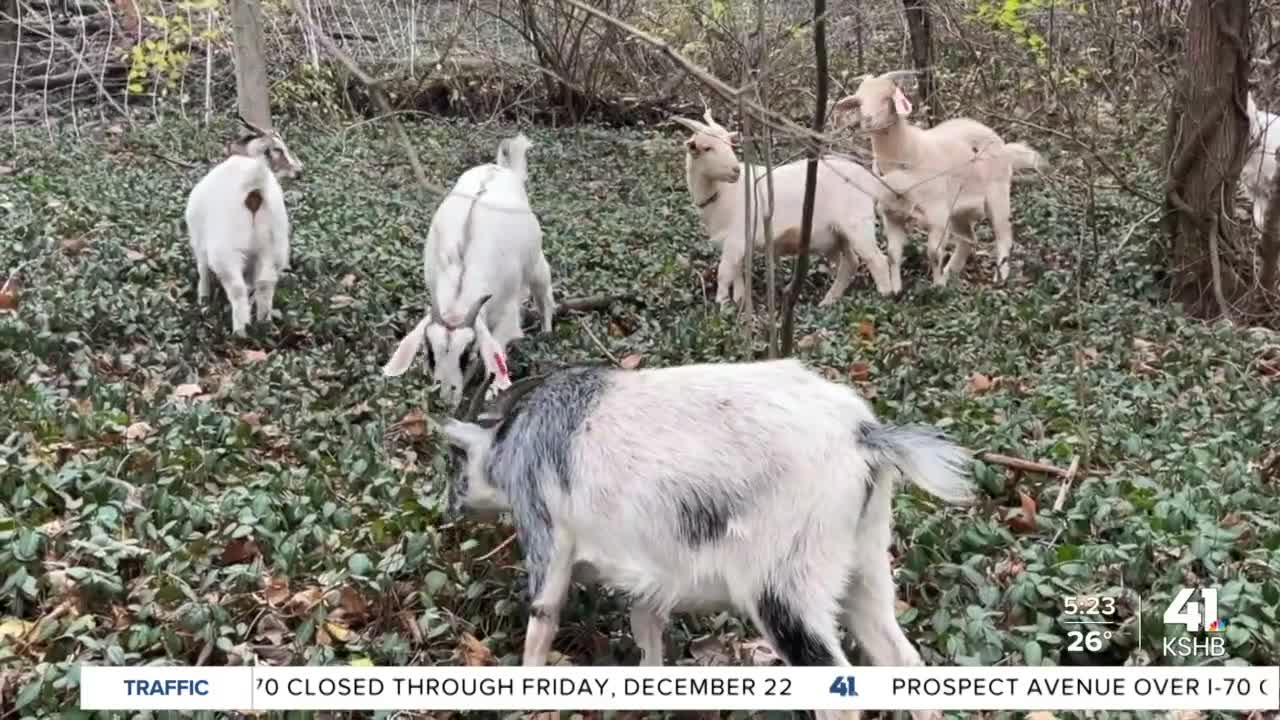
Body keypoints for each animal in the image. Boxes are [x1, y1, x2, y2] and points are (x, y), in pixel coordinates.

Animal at [185, 113, 302, 335]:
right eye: (279, 149)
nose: (298, 171)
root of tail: (254, 186)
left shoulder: (199, 241)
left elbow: (202, 269)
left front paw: (203, 300)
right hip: (273, 245)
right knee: (265, 283)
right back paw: (264, 324)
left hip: (227, 250)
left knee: (237, 288)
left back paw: (240, 331)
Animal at [384, 132, 555, 407]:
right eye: (430, 352)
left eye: (468, 354)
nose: (443, 399)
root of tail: (501, 169)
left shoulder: (507, 311)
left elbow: (499, 346)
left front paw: (493, 389)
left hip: (537, 261)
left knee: (544, 292)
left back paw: (547, 332)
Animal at [675, 108, 896, 302]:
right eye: (707, 147)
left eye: (729, 144)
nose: (735, 171)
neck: (724, 193)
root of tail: (869, 178)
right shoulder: (733, 243)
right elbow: (737, 274)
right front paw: (738, 301)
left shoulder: (736, 238)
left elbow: (723, 274)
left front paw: (721, 306)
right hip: (837, 234)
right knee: (850, 263)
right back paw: (828, 301)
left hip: (857, 222)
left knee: (876, 259)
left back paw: (884, 297)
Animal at [829, 70, 1049, 288]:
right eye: (859, 101)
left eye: (886, 98)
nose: (866, 120)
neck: (909, 151)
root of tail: (1003, 146)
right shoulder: (892, 215)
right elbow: (892, 254)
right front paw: (898, 290)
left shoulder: (937, 214)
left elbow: (933, 253)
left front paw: (938, 287)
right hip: (958, 208)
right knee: (968, 239)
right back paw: (952, 270)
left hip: (998, 193)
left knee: (1003, 235)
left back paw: (1000, 276)